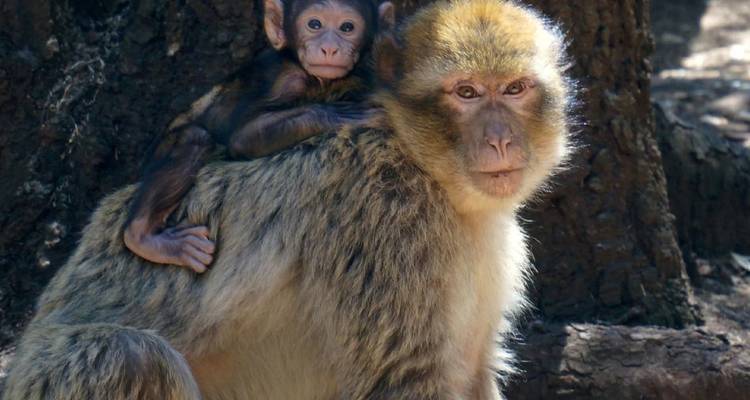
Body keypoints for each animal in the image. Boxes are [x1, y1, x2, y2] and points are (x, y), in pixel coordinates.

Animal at [124, 0, 396, 273]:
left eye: (347, 27)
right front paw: (343, 115)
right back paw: (143, 236)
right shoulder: (287, 80)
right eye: (314, 24)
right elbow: (245, 137)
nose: (329, 47)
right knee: (194, 137)